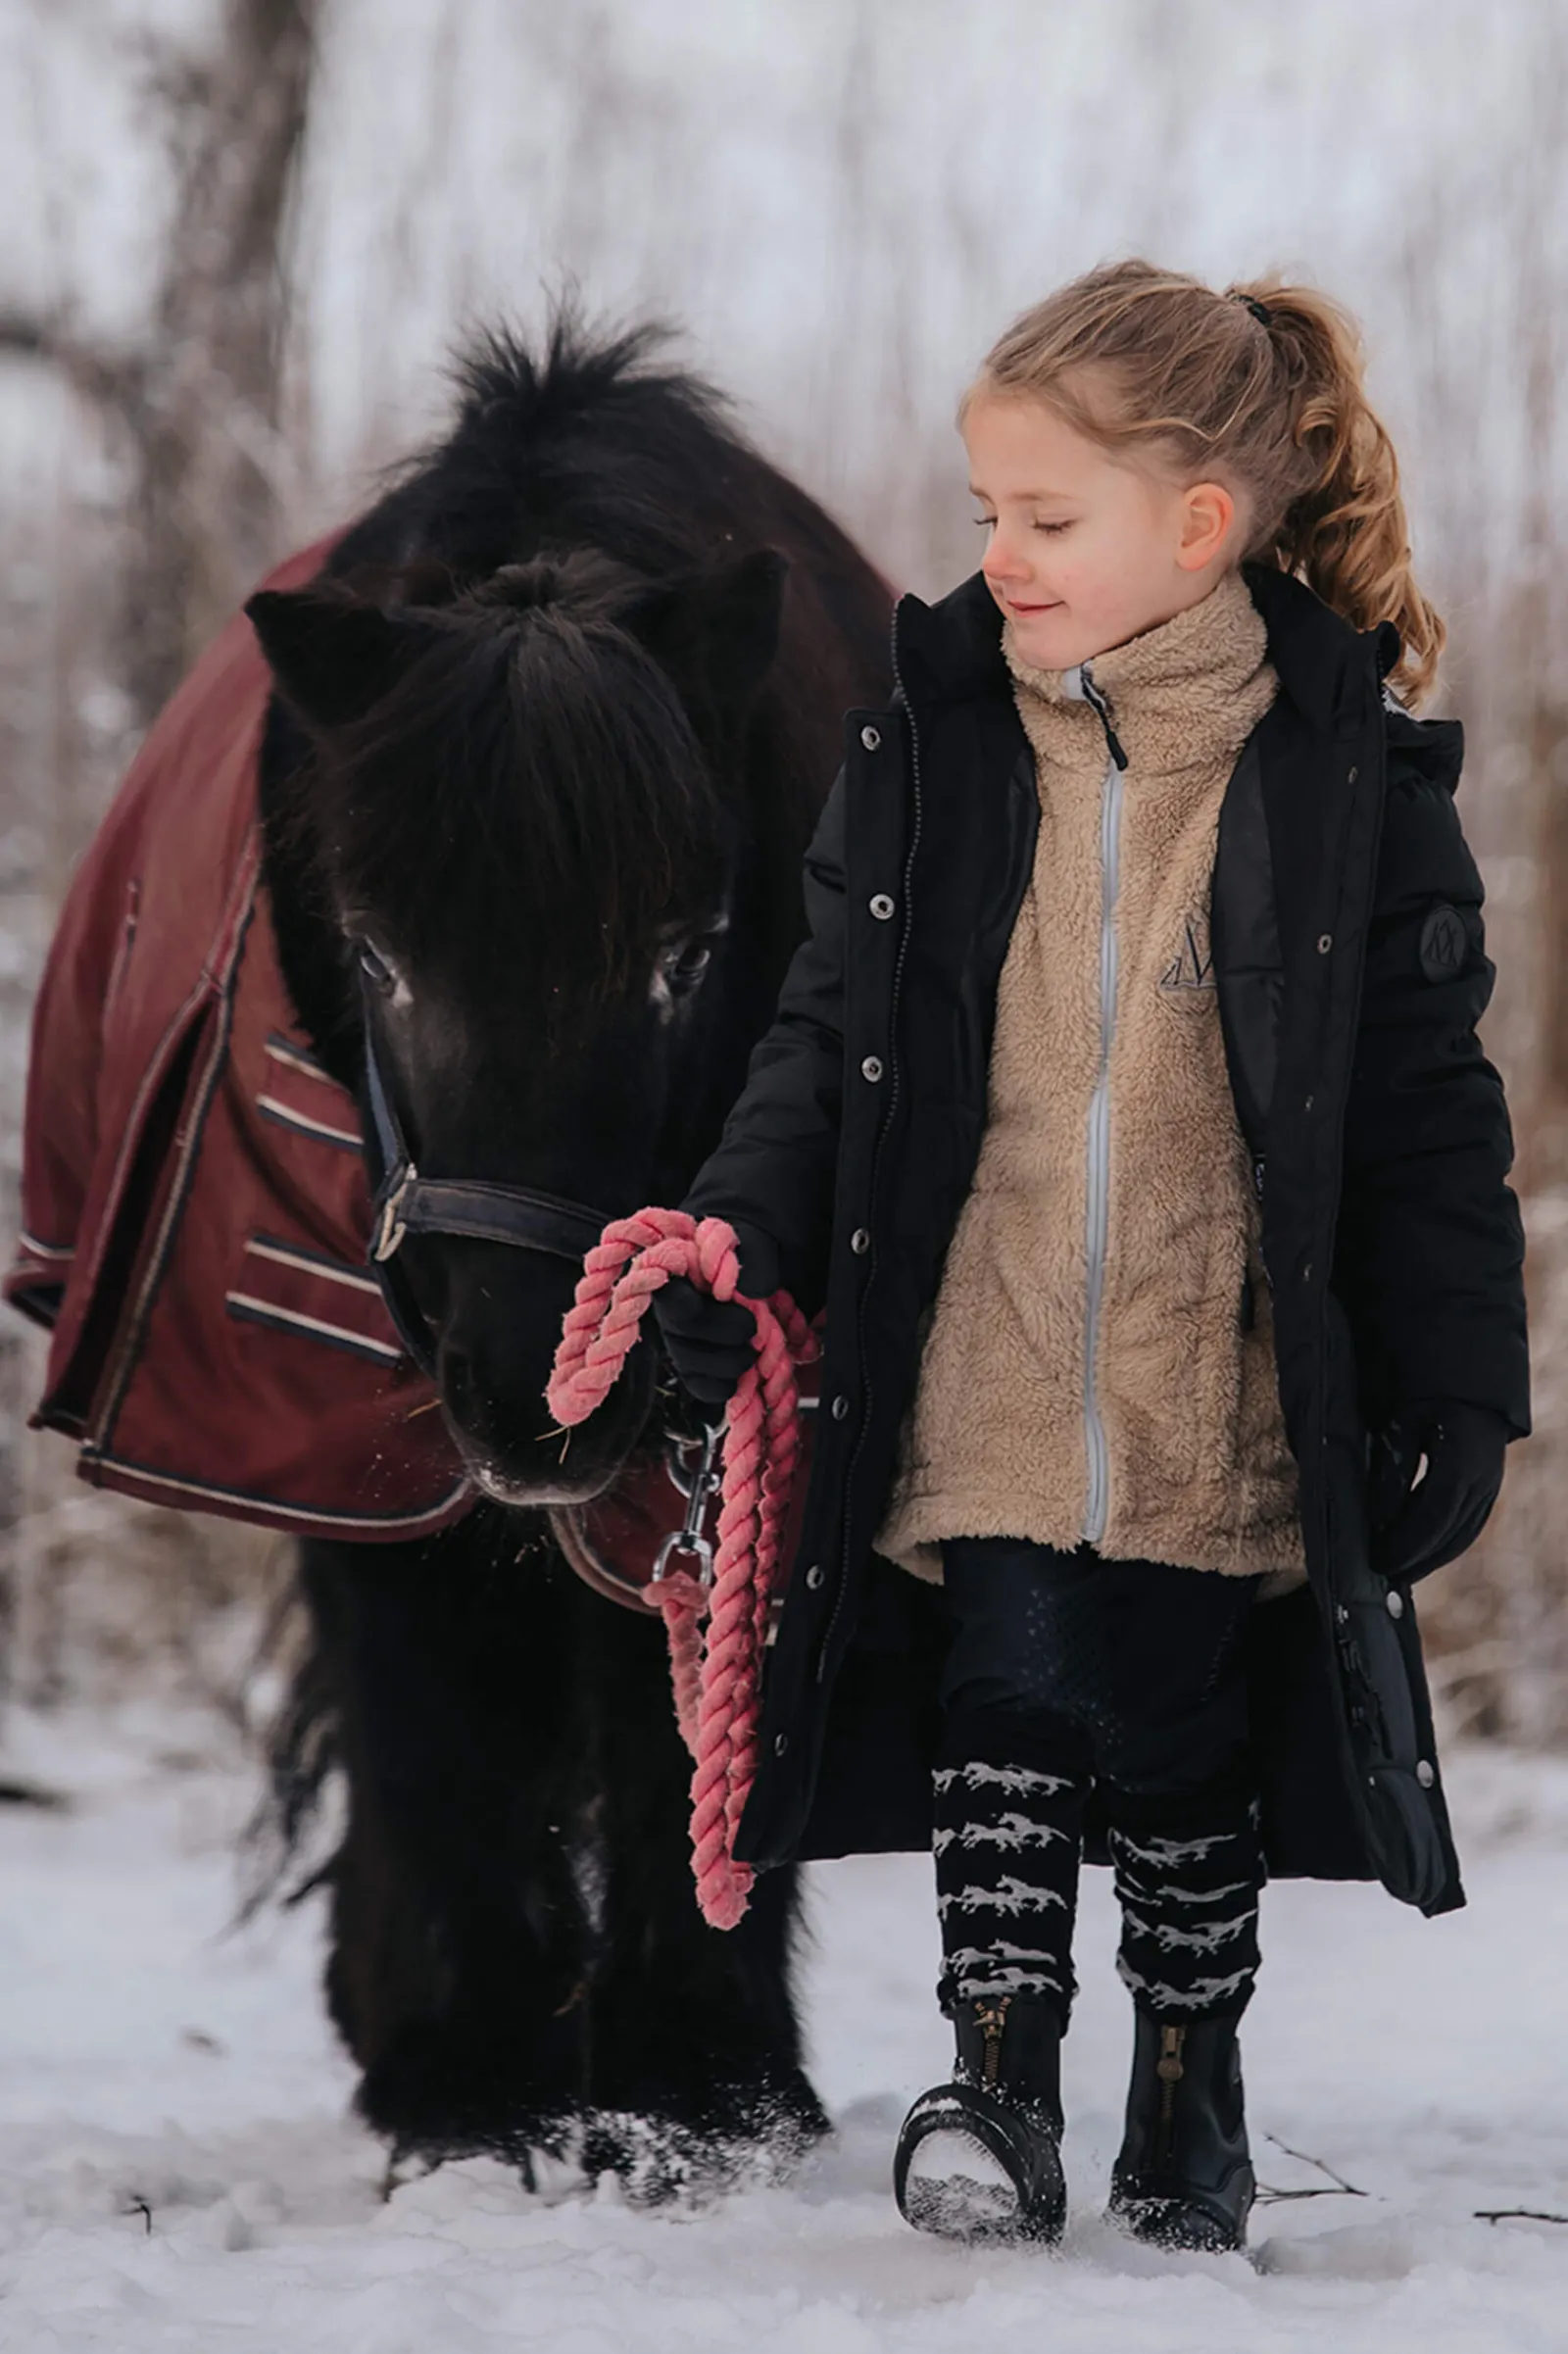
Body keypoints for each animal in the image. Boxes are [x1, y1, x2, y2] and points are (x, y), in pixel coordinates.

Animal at [244, 318, 895, 2188]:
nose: (542, 1397)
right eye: (376, 955)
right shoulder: (349, 1430)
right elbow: (417, 1705)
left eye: (687, 949)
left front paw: (700, 2094)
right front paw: (464, 2086)